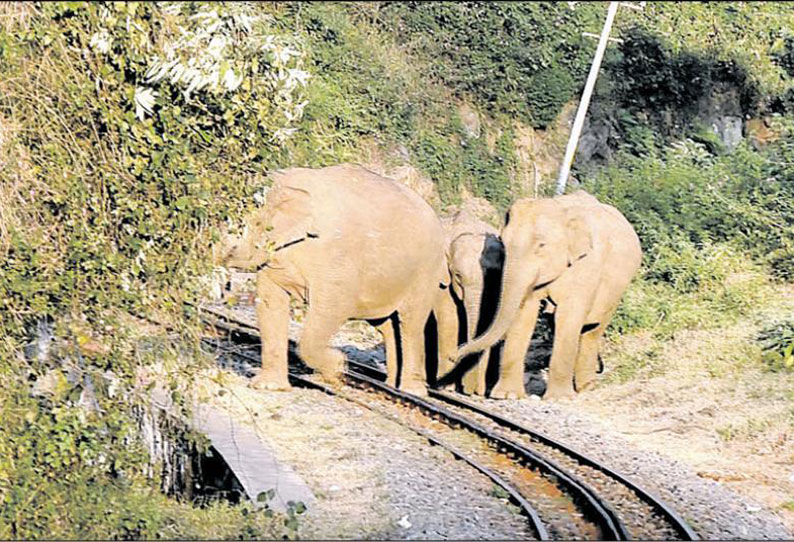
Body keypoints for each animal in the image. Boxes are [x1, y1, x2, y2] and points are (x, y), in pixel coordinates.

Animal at [220, 164, 448, 398]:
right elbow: (269, 302)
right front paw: (268, 386)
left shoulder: (336, 255)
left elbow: (334, 308)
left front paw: (337, 370)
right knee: (388, 326)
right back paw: (391, 387)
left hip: (426, 272)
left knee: (410, 323)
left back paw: (412, 393)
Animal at [434, 210, 502, 398]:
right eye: (458, 276)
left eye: (495, 276)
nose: (454, 356)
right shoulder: (443, 275)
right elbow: (450, 318)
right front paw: (447, 388)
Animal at [442, 190, 640, 400]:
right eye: (504, 243)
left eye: (541, 245)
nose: (454, 355)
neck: (560, 210)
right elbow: (525, 312)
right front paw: (507, 396)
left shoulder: (587, 263)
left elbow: (568, 316)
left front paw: (559, 398)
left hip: (617, 290)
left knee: (593, 330)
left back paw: (585, 387)